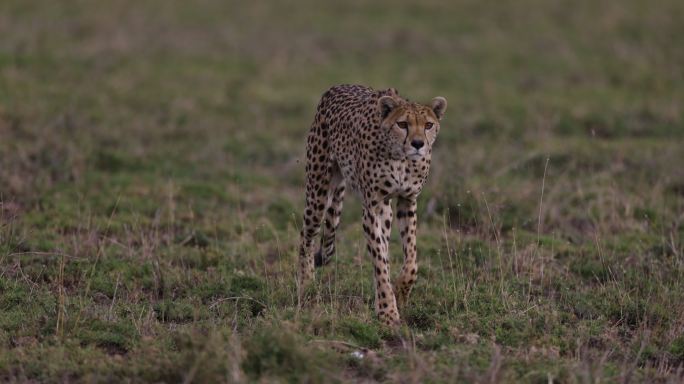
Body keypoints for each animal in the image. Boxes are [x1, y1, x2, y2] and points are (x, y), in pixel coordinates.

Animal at [296, 84, 446, 328]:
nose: (418, 144)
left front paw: (399, 293)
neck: (401, 158)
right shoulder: (372, 207)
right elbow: (380, 263)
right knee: (306, 237)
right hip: (318, 192)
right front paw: (388, 312)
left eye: (428, 125)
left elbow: (411, 261)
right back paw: (306, 287)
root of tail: (337, 86)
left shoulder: (407, 201)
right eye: (402, 124)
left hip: (384, 208)